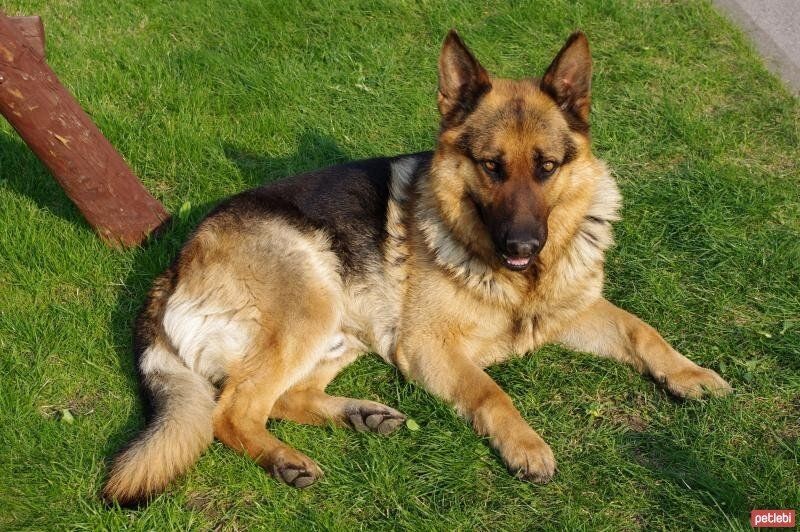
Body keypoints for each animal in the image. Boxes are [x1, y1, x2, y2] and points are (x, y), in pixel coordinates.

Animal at [104, 31, 732, 504]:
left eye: (547, 167)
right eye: (491, 166)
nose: (524, 244)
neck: (520, 282)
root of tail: (173, 267)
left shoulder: (574, 310)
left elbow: (642, 331)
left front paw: (690, 374)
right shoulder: (430, 346)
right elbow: (490, 392)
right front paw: (526, 445)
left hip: (343, 332)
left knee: (277, 399)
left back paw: (359, 416)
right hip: (314, 304)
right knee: (230, 412)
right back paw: (286, 460)